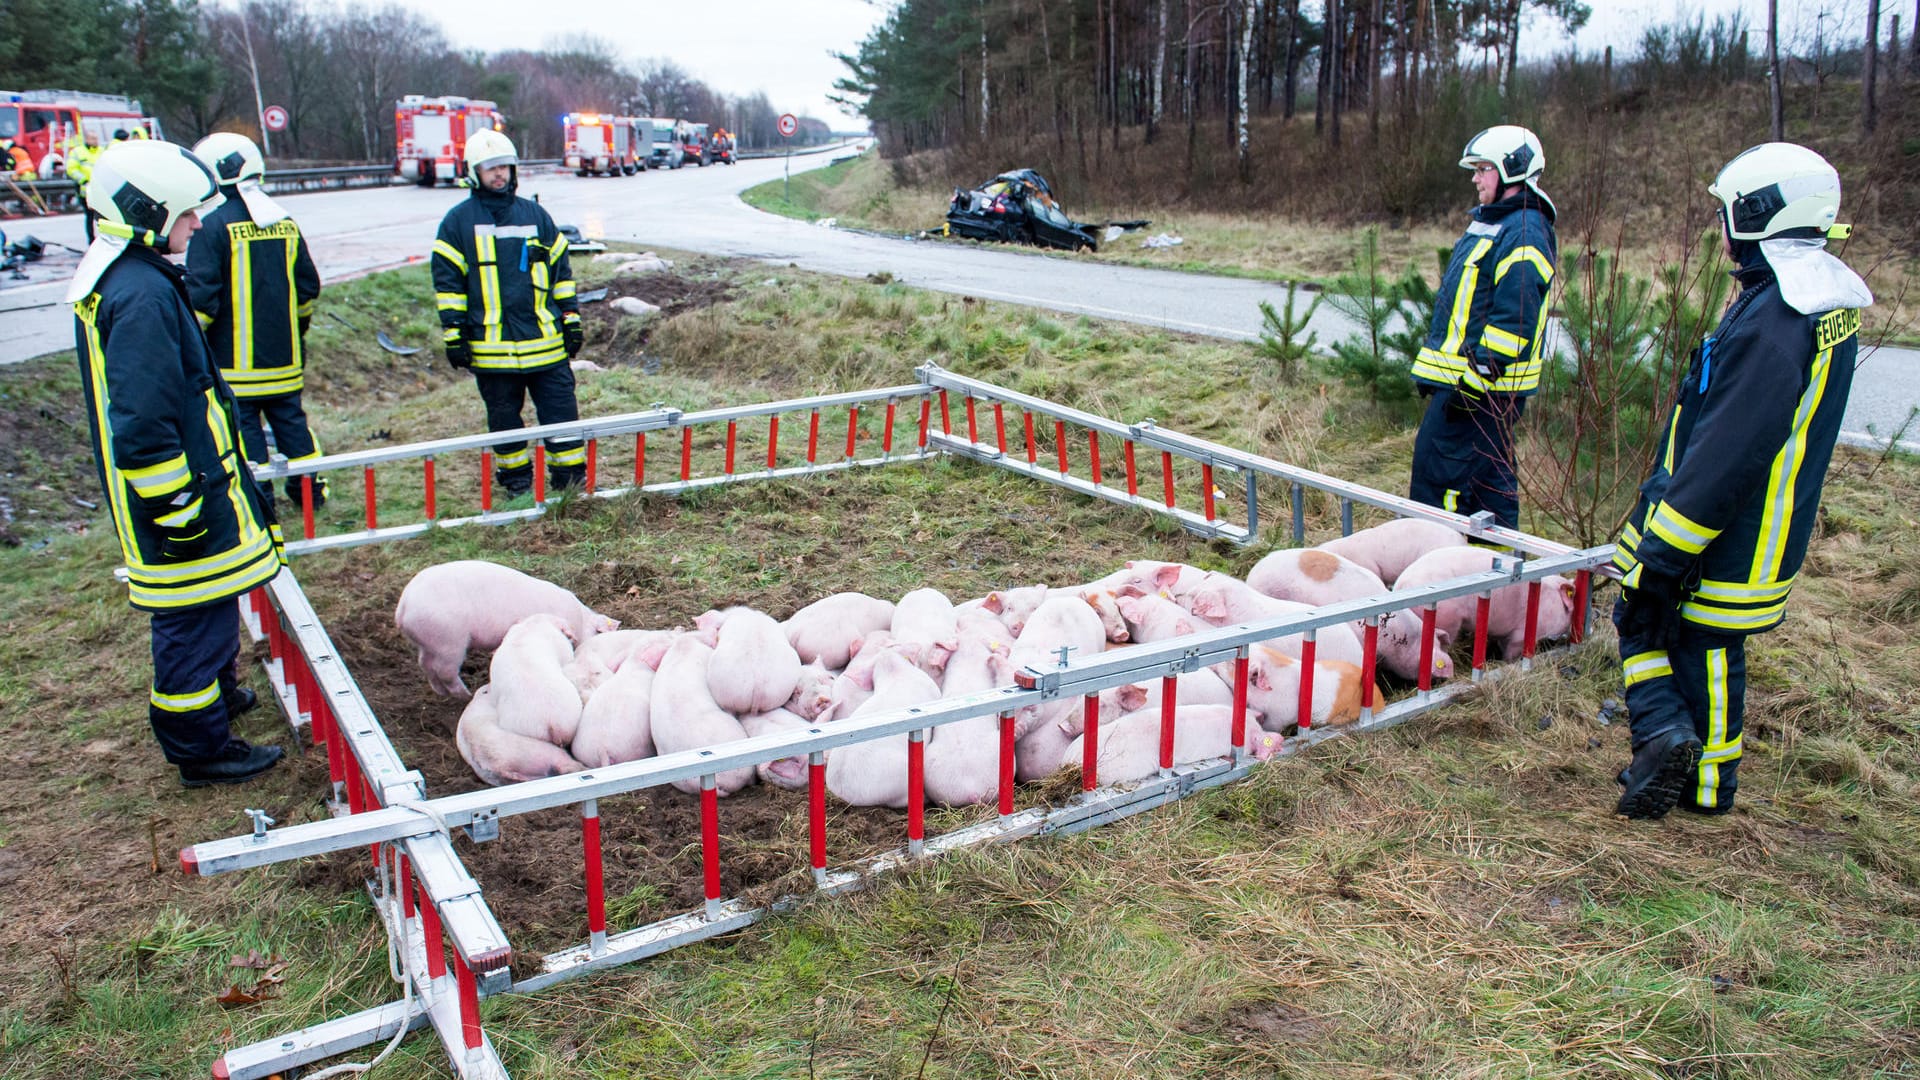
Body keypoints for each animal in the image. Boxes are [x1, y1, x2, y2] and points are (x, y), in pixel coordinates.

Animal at [395, 553, 618, 699]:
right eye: (597, 633)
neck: (579, 618)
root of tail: (403, 605)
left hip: (429, 642)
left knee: (424, 664)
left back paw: (440, 692)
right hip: (449, 641)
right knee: (444, 671)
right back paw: (465, 695)